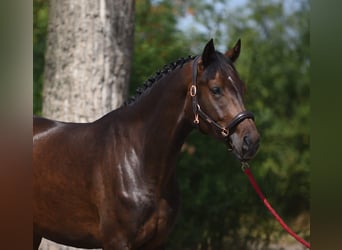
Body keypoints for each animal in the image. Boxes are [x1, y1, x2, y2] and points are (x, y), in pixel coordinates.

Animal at [34, 39, 260, 248]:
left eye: (243, 88)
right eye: (216, 89)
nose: (251, 141)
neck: (138, 158)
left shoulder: (155, 243)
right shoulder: (117, 242)